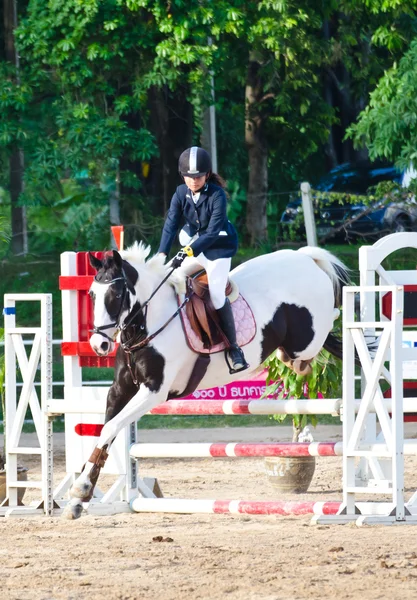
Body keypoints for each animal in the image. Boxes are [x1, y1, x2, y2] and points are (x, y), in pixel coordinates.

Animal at [61, 241, 348, 516]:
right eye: (91, 294)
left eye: (117, 294)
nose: (99, 345)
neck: (147, 324)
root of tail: (303, 257)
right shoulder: (120, 390)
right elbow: (104, 432)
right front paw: (78, 496)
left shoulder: (154, 391)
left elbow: (111, 427)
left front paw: (81, 490)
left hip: (307, 338)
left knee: (328, 325)